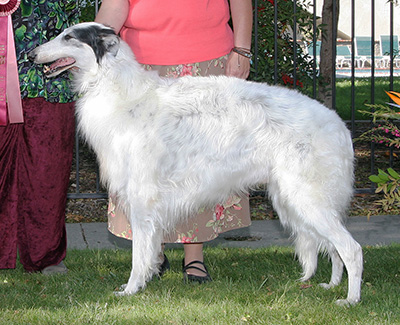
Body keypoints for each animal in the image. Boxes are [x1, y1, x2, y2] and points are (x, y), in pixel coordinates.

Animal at [29, 22, 364, 304]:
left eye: (69, 37)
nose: (31, 54)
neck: (118, 88)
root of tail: (339, 125)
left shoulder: (141, 199)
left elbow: (138, 256)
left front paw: (131, 289)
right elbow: (149, 252)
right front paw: (146, 280)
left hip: (306, 197)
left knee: (352, 249)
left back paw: (350, 299)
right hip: (295, 198)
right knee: (334, 249)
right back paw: (331, 285)